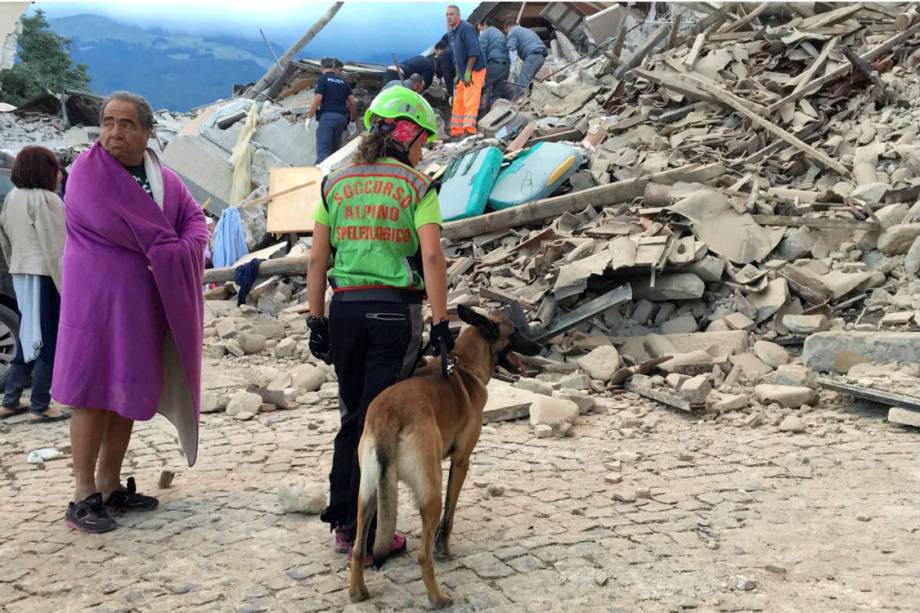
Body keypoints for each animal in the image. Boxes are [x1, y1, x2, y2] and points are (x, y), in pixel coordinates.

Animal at [350, 304, 540, 604]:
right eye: (515, 332)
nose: (540, 345)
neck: (463, 365)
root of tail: (388, 416)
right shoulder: (461, 461)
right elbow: (450, 514)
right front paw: (444, 549)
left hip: (368, 494)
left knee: (357, 549)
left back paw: (357, 592)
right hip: (430, 493)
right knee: (422, 554)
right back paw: (438, 598)